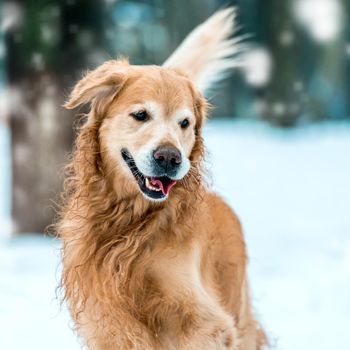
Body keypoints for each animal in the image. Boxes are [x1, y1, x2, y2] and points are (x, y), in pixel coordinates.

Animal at [56, 8, 266, 350]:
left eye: (185, 123)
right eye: (141, 115)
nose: (169, 158)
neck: (131, 224)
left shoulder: (207, 321)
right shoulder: (106, 321)